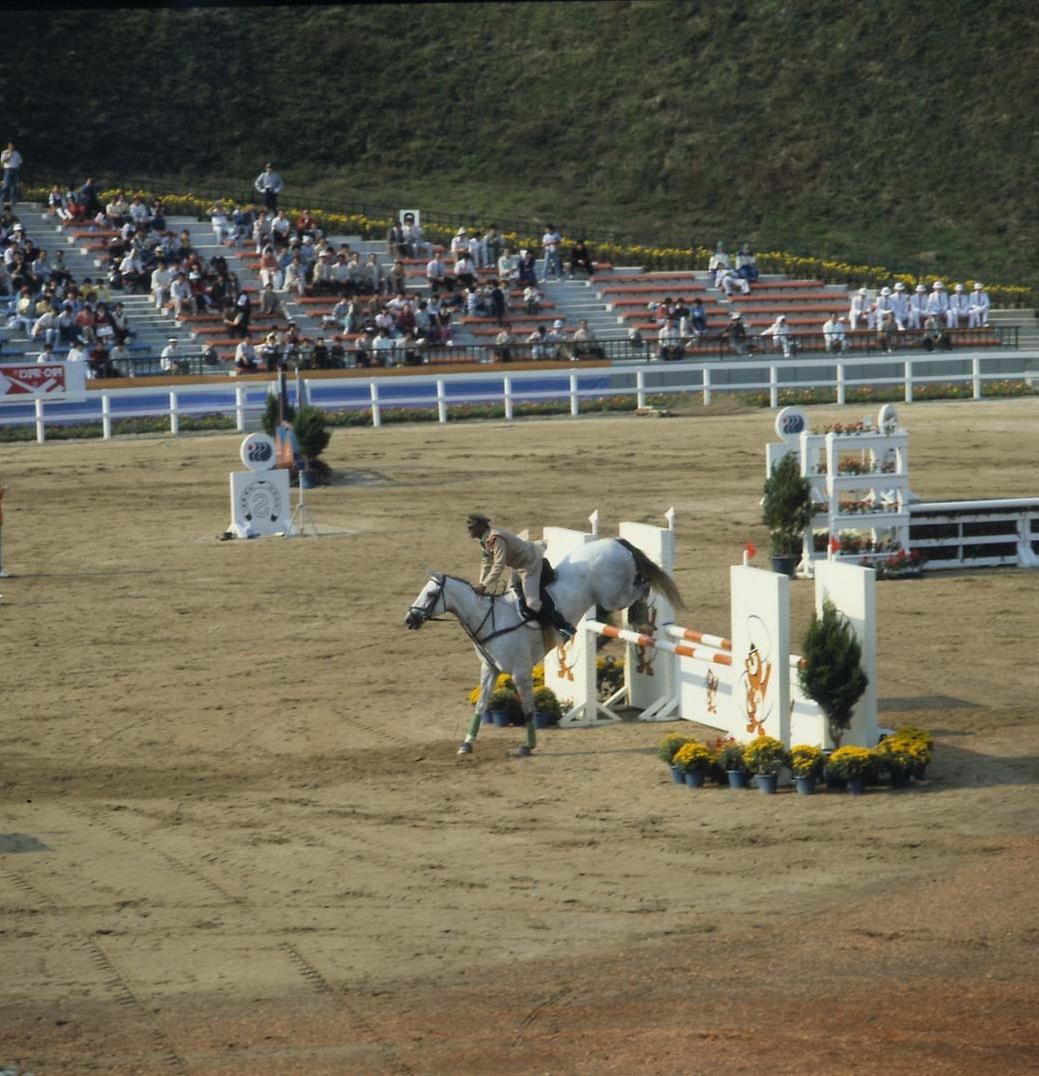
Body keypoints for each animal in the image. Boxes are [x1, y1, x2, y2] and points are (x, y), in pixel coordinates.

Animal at [400, 538, 684, 757]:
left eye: (430, 595)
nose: (410, 619)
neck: (490, 619)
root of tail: (616, 541)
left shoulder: (520, 672)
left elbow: (528, 709)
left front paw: (527, 746)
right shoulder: (490, 670)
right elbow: (481, 705)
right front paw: (466, 744)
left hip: (613, 594)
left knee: (642, 585)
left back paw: (640, 613)